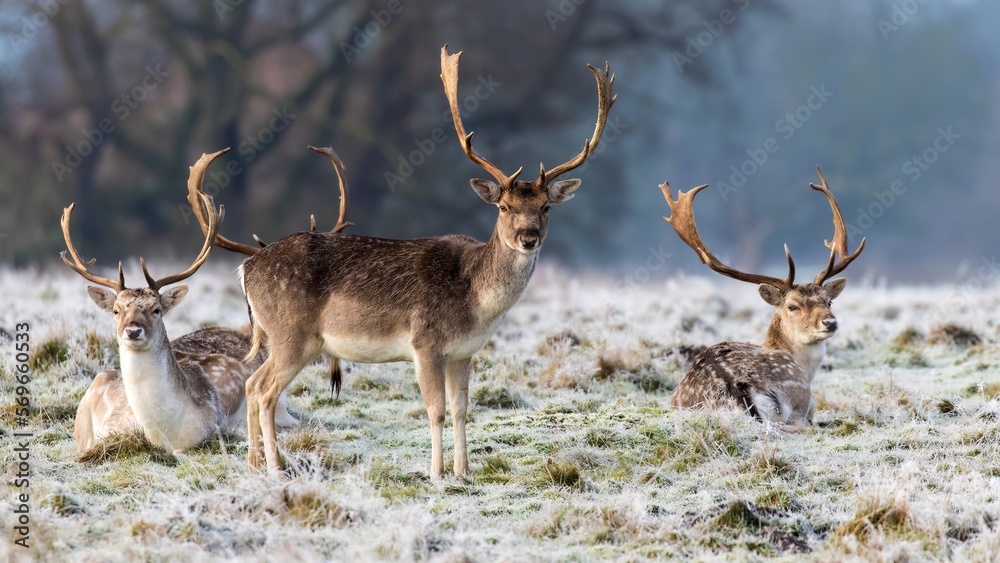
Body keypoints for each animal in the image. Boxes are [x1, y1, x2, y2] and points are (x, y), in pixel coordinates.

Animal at [190, 45, 615, 476]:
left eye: (546, 207)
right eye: (504, 207)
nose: (528, 238)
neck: (476, 302)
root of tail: (246, 268)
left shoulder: (464, 352)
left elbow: (462, 410)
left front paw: (463, 471)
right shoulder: (425, 342)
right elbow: (436, 410)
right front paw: (437, 473)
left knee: (251, 383)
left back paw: (254, 463)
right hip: (292, 334)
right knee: (263, 389)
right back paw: (275, 465)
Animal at [660, 168, 865, 428]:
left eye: (828, 301)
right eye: (792, 306)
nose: (830, 322)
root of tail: (736, 388)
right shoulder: (808, 405)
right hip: (797, 399)